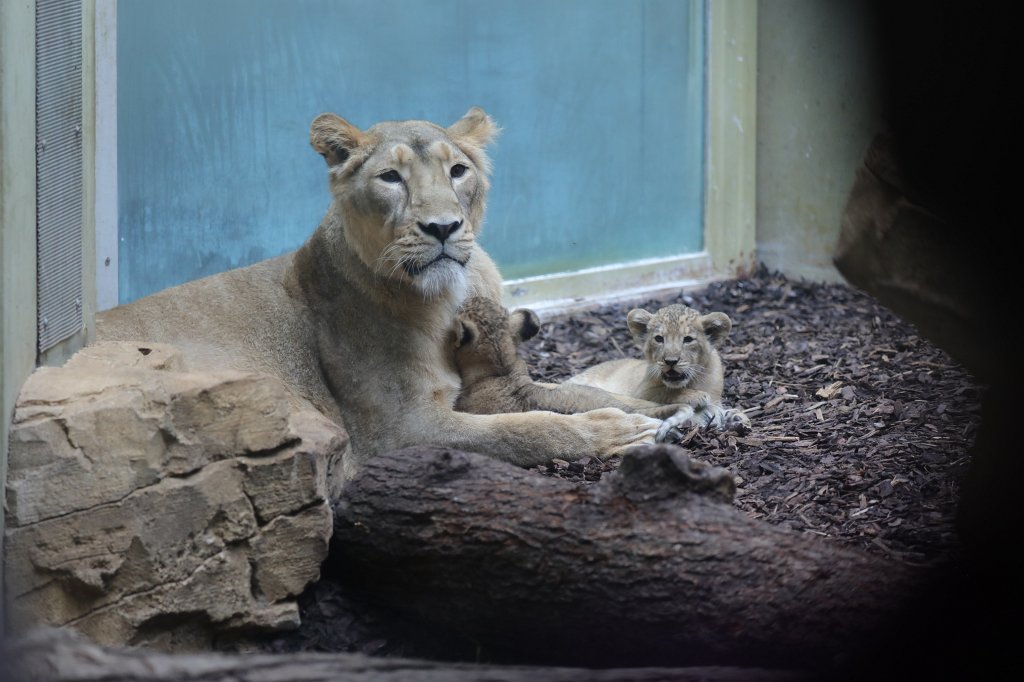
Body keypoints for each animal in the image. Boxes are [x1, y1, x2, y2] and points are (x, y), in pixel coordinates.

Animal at [565, 304, 751, 439]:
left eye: (688, 339)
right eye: (659, 338)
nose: (671, 361)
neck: (694, 381)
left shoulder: (716, 399)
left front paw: (738, 418)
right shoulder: (642, 391)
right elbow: (666, 392)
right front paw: (696, 397)